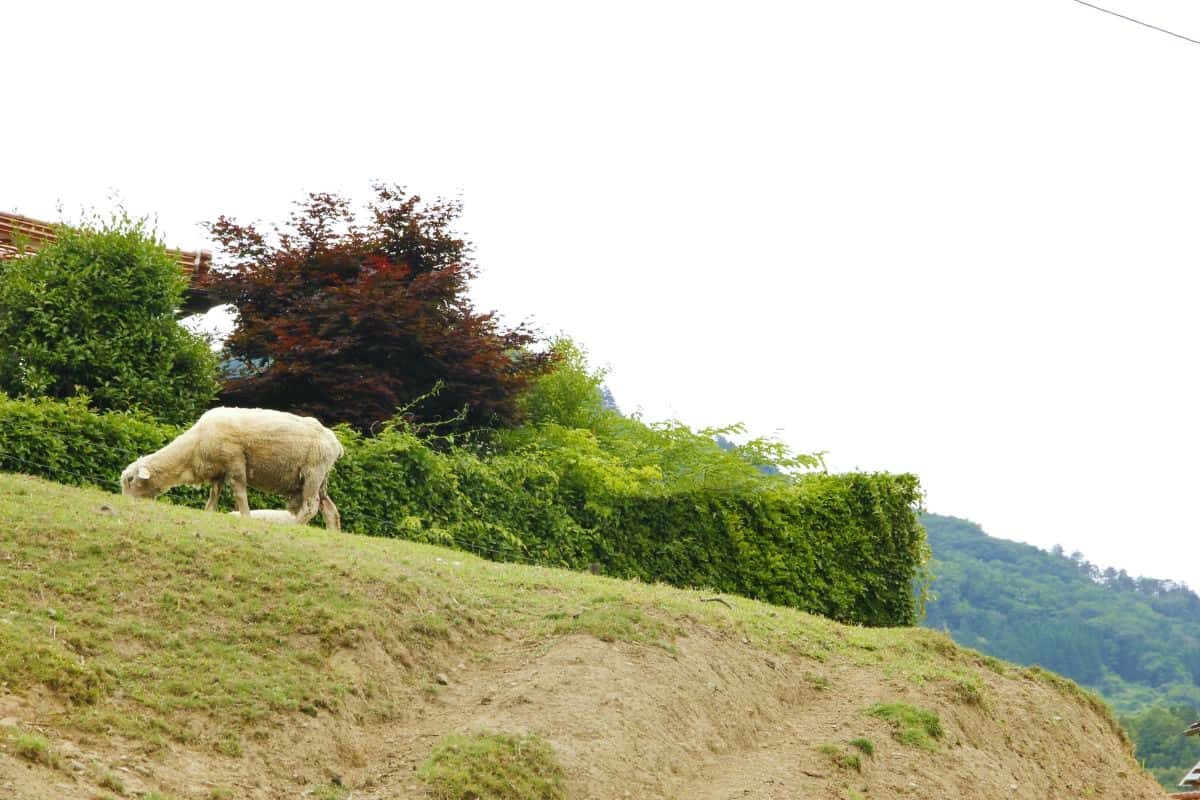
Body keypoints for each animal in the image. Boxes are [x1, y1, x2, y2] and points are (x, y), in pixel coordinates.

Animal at [120, 407, 343, 532]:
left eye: (130, 480)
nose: (125, 502)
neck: (193, 448)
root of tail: (335, 442)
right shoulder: (218, 470)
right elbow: (214, 495)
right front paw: (208, 513)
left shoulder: (235, 463)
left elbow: (240, 494)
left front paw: (246, 517)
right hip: (320, 479)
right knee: (330, 509)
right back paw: (332, 534)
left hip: (313, 472)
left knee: (311, 506)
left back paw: (292, 526)